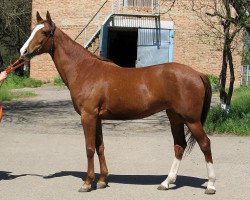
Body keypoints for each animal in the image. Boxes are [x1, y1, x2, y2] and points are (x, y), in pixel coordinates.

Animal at [19, 11, 216, 195]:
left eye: (45, 32)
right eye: (33, 30)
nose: (23, 52)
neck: (85, 70)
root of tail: (198, 73)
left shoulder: (88, 116)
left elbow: (89, 148)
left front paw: (87, 183)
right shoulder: (97, 118)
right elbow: (100, 147)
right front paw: (102, 181)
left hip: (191, 120)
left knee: (205, 144)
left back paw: (211, 185)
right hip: (175, 117)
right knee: (179, 146)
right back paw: (166, 182)